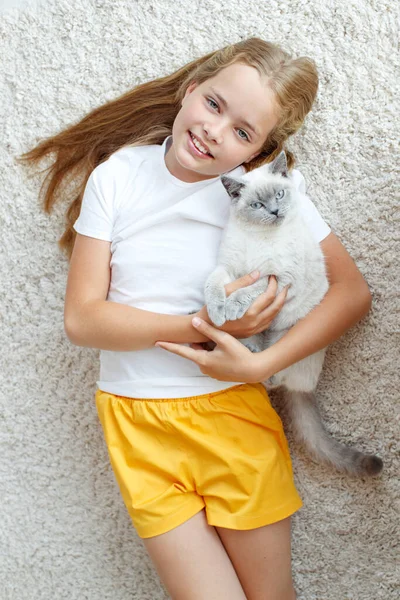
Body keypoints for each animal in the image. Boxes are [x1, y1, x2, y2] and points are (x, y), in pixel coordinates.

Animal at [205, 154, 382, 478]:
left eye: (279, 195)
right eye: (257, 205)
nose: (275, 212)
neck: (258, 238)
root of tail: (307, 389)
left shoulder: (275, 279)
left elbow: (247, 292)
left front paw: (231, 310)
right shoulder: (229, 269)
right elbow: (212, 286)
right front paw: (216, 312)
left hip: (286, 337)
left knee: (272, 376)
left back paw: (252, 354)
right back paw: (243, 343)